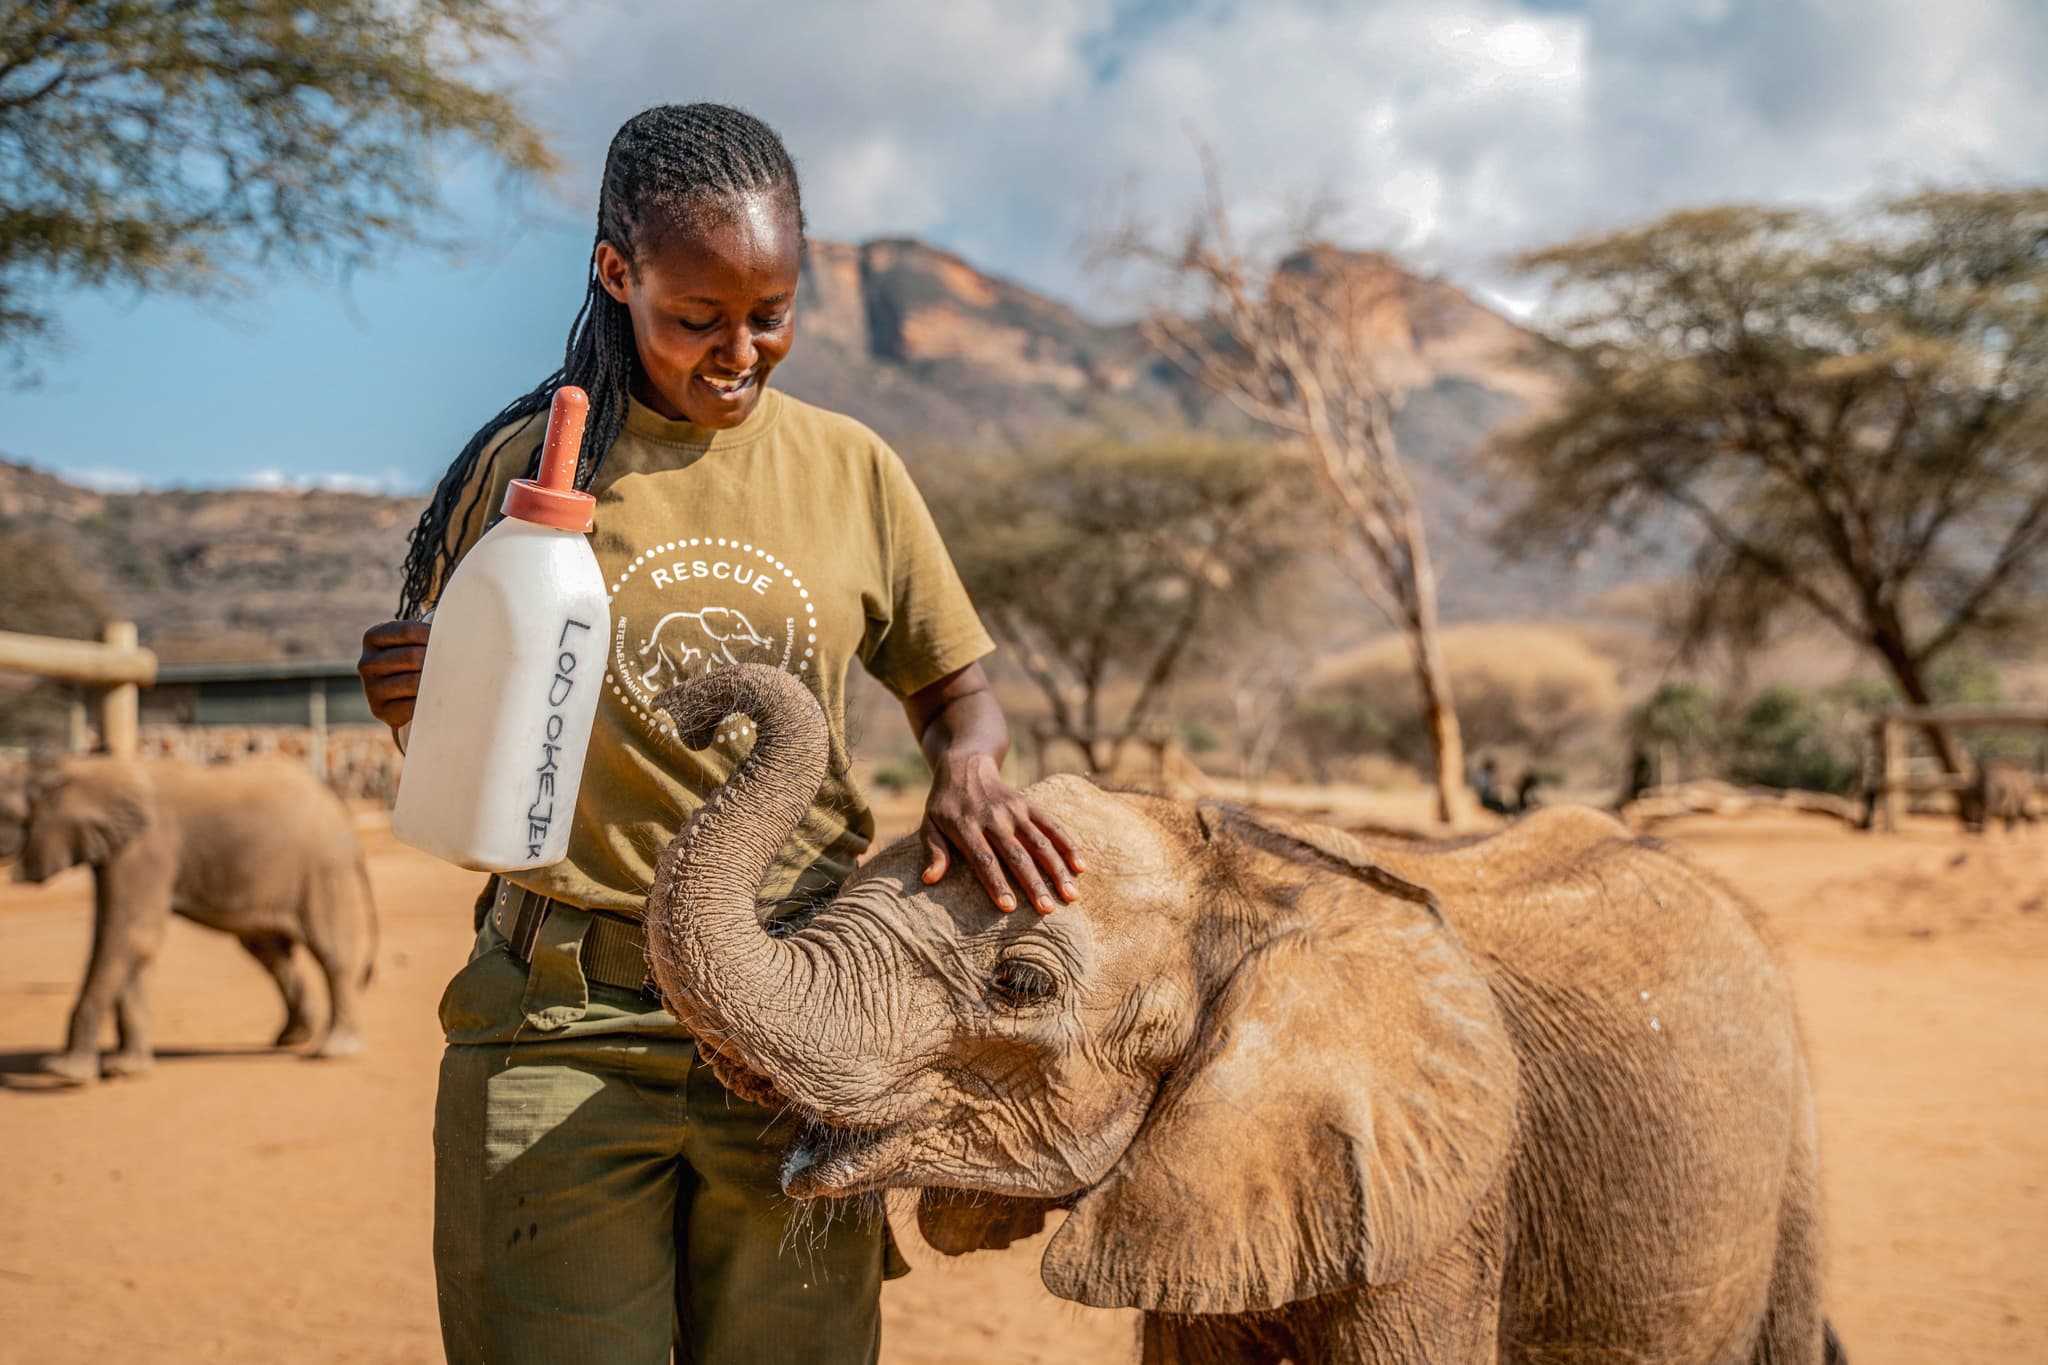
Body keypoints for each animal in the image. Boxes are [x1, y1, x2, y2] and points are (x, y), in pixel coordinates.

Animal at [5, 754, 378, 1084]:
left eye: (9, 815)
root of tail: (343, 815)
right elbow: (130, 942)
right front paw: (125, 1070)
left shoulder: (147, 847)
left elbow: (131, 935)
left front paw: (64, 1073)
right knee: (268, 951)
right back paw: (292, 1037)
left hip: (322, 869)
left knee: (329, 951)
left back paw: (333, 1050)